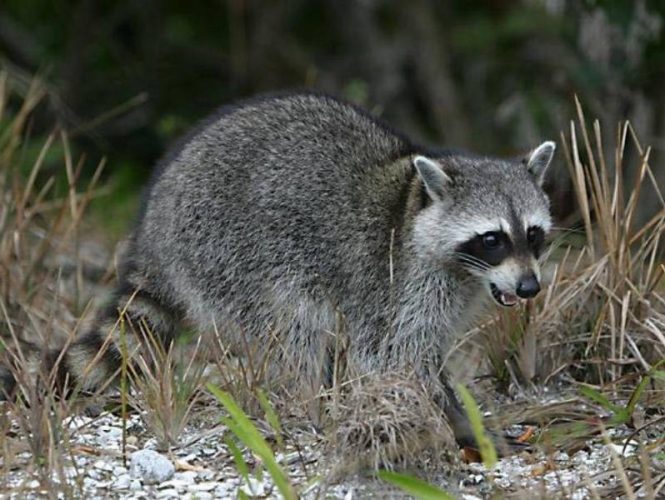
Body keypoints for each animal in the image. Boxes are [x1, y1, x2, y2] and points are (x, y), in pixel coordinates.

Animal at [3, 93, 556, 450]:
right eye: (492, 239)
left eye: (532, 235)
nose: (530, 287)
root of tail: (154, 229)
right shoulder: (393, 283)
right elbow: (396, 357)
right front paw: (460, 424)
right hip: (232, 252)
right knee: (295, 329)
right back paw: (312, 406)